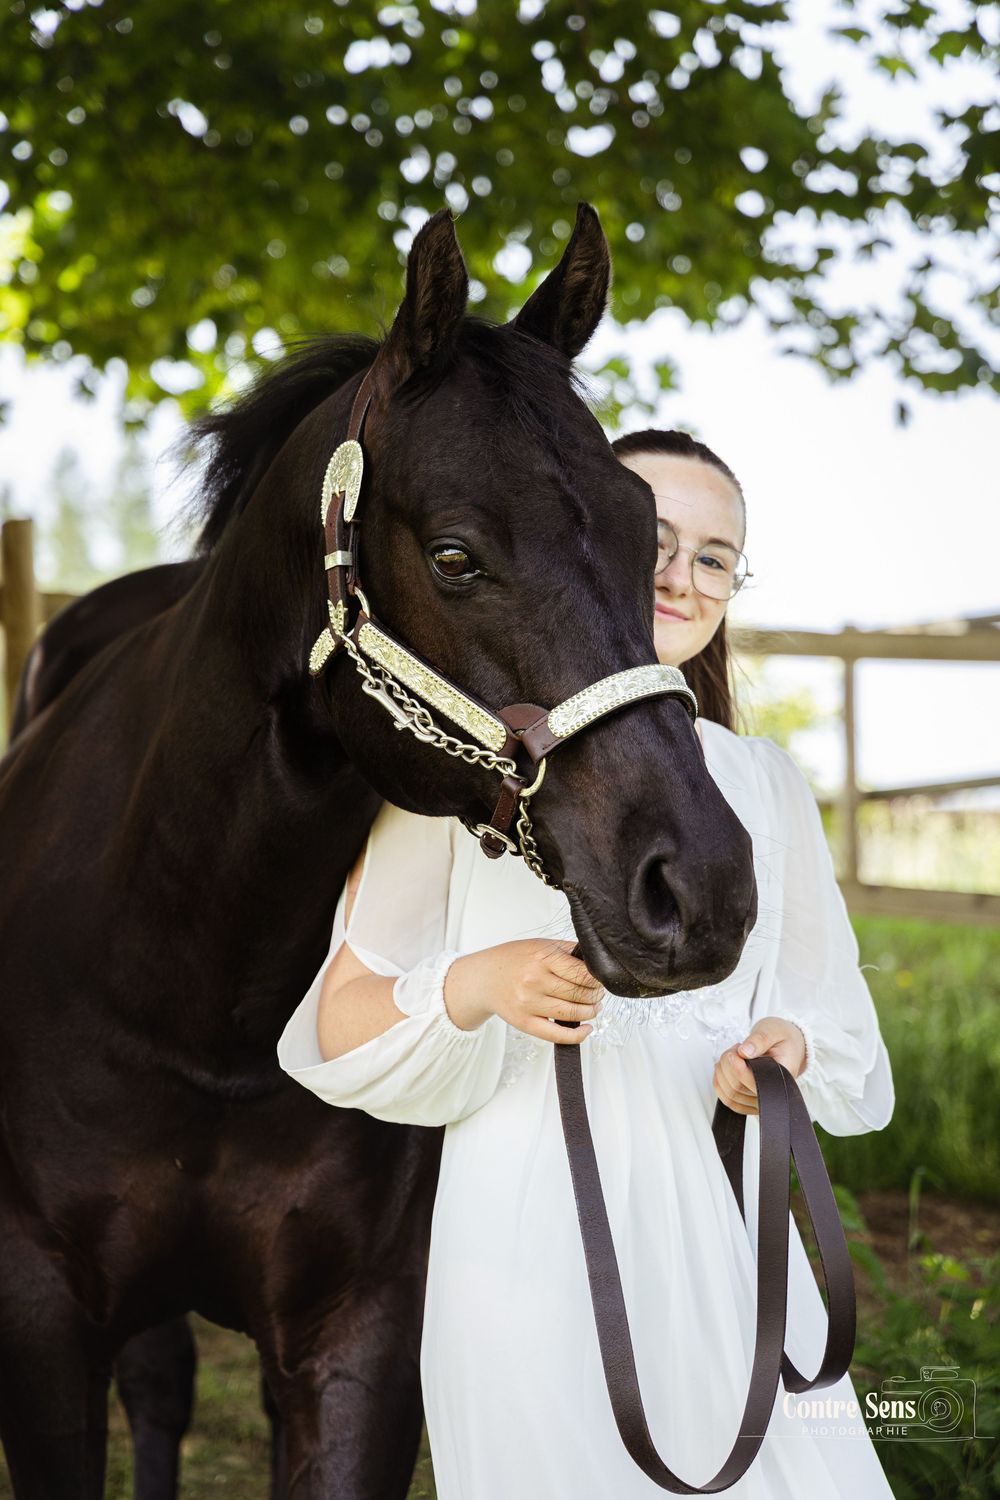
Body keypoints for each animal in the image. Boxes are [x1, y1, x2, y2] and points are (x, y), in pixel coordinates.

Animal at [0, 204, 757, 1499]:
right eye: (454, 555)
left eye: (642, 533)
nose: (699, 886)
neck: (194, 991)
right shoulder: (40, 1324)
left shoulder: (361, 1333)